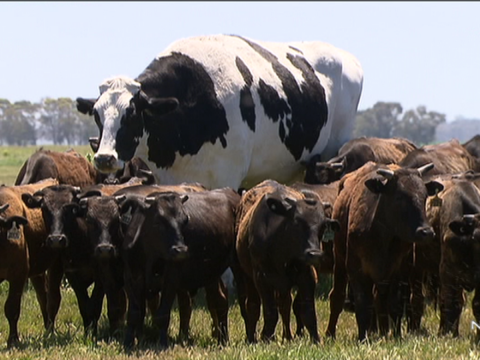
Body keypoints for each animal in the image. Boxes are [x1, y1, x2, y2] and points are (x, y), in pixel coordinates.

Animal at [0, 179, 59, 348]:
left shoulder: (18, 276)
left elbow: (11, 308)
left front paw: (13, 340)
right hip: (37, 272)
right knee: (43, 296)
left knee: (52, 297)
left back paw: (51, 330)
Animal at [119, 187, 239, 348]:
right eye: (158, 221)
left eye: (185, 220)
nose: (180, 250)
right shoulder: (131, 276)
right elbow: (134, 313)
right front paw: (128, 342)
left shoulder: (171, 279)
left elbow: (163, 314)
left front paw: (163, 343)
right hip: (211, 274)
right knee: (220, 299)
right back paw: (222, 339)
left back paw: (224, 339)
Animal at [234, 179, 340, 344]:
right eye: (296, 222)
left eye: (323, 227)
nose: (314, 254)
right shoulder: (261, 278)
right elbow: (270, 311)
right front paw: (266, 337)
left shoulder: (307, 275)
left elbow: (308, 311)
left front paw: (316, 339)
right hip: (247, 276)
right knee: (253, 305)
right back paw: (252, 338)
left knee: (285, 304)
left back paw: (287, 336)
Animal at [324, 162, 444, 342]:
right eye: (399, 197)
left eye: (424, 197)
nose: (426, 232)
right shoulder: (356, 270)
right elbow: (362, 304)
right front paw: (363, 338)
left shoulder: (399, 271)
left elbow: (394, 304)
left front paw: (396, 335)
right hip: (339, 260)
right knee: (337, 296)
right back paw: (331, 333)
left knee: (379, 300)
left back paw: (381, 331)